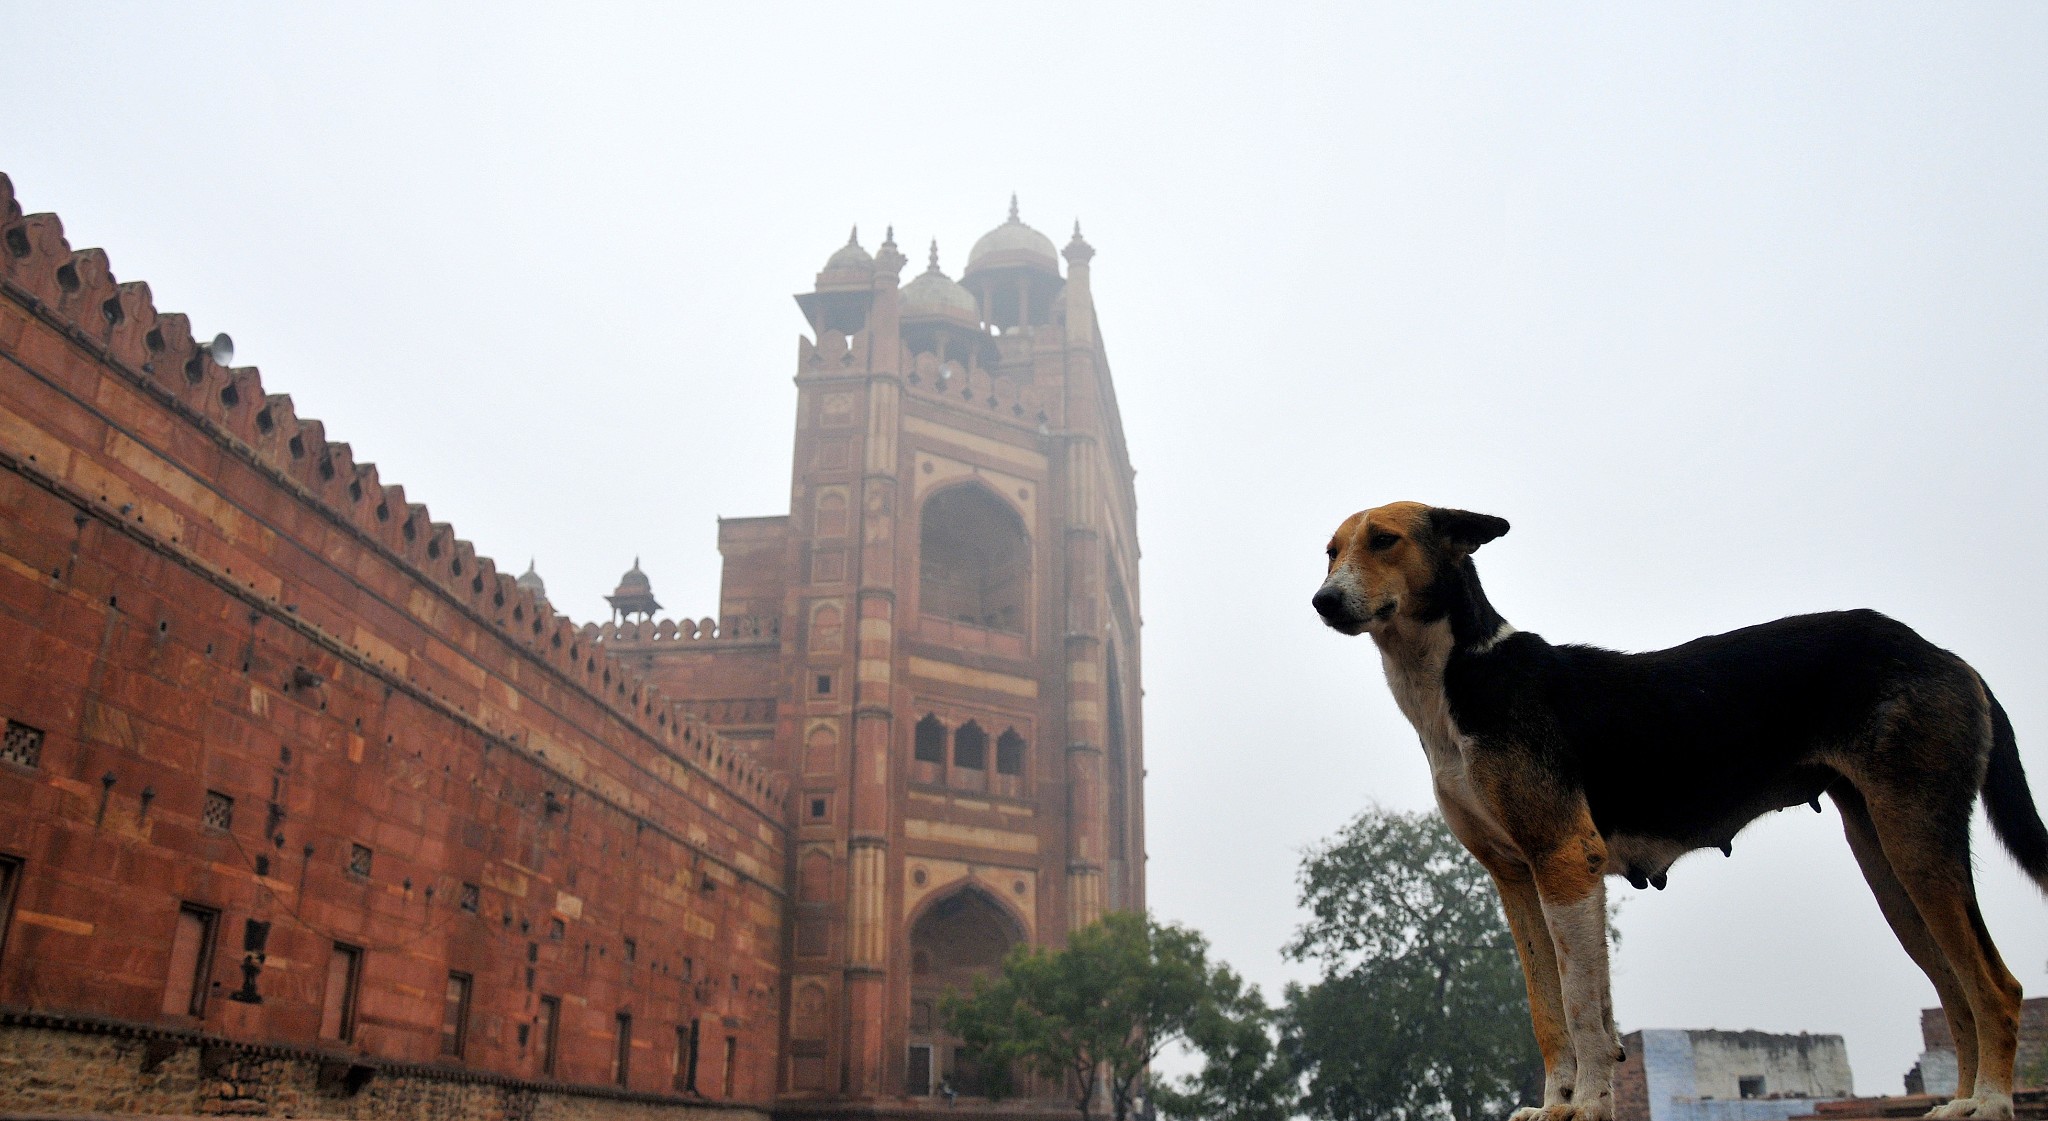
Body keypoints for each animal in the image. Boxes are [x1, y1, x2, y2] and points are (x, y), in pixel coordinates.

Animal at [1310, 504, 2048, 1121]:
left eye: (1385, 540)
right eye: (1330, 551)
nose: (1323, 600)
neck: (1457, 676)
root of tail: (1947, 657)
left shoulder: (1565, 858)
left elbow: (1581, 1009)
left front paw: (1585, 1107)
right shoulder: (1517, 878)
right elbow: (1551, 1013)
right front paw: (1558, 1106)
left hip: (1917, 842)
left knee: (1997, 987)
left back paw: (1989, 1103)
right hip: (1889, 865)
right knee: (1956, 991)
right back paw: (1959, 1101)